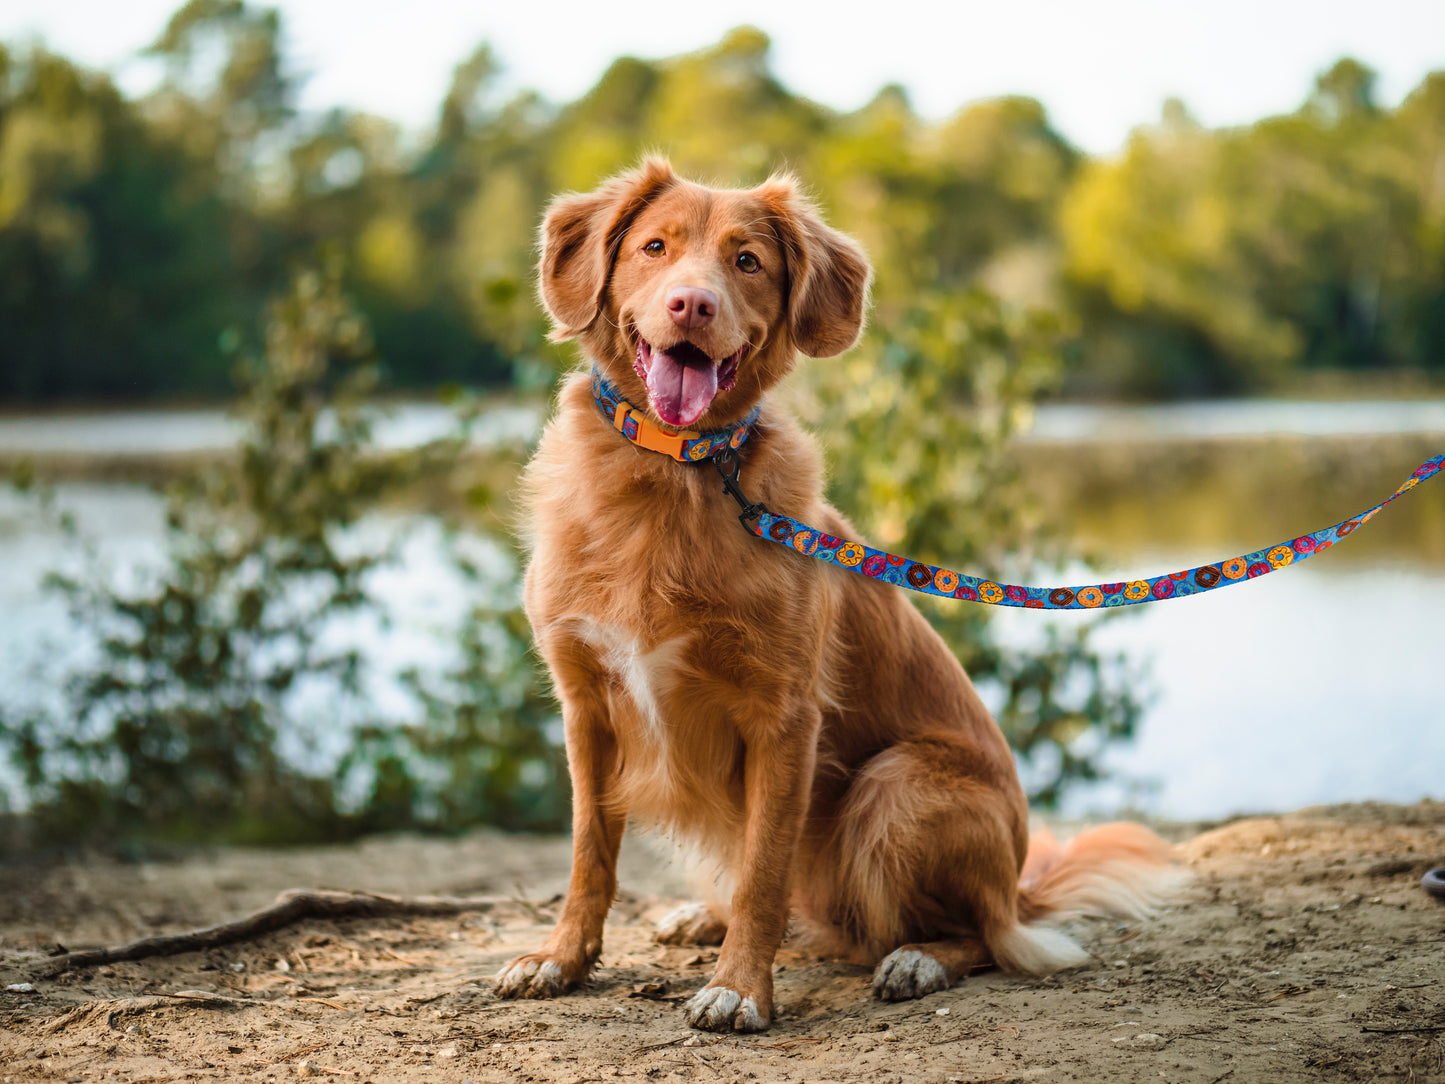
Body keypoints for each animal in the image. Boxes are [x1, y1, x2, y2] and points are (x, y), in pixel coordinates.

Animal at [497, 156, 1173, 1029]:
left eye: (746, 261)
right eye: (654, 247)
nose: (692, 303)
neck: (674, 476)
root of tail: (1019, 885)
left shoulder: (783, 717)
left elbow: (762, 871)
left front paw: (738, 988)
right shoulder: (586, 705)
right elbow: (589, 851)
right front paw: (561, 958)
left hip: (895, 788)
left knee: (984, 936)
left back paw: (917, 959)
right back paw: (703, 917)